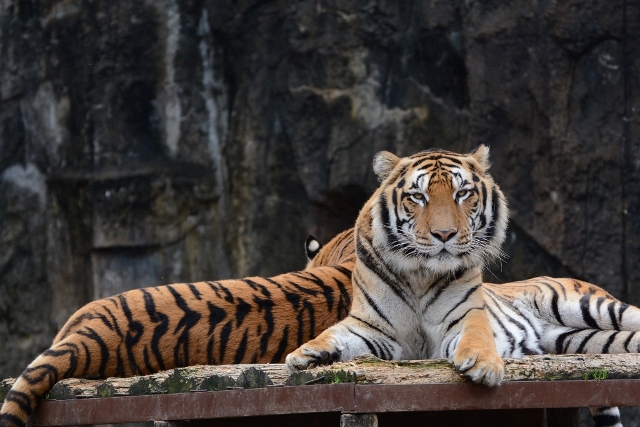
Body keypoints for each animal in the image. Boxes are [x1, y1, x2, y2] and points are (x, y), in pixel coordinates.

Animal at [288, 145, 636, 426]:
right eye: (418, 196)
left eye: (462, 194)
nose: (445, 234)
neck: (419, 274)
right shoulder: (375, 328)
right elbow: (334, 333)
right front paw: (303, 355)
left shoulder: (465, 315)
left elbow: (477, 337)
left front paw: (484, 367)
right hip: (578, 339)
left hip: (583, 305)